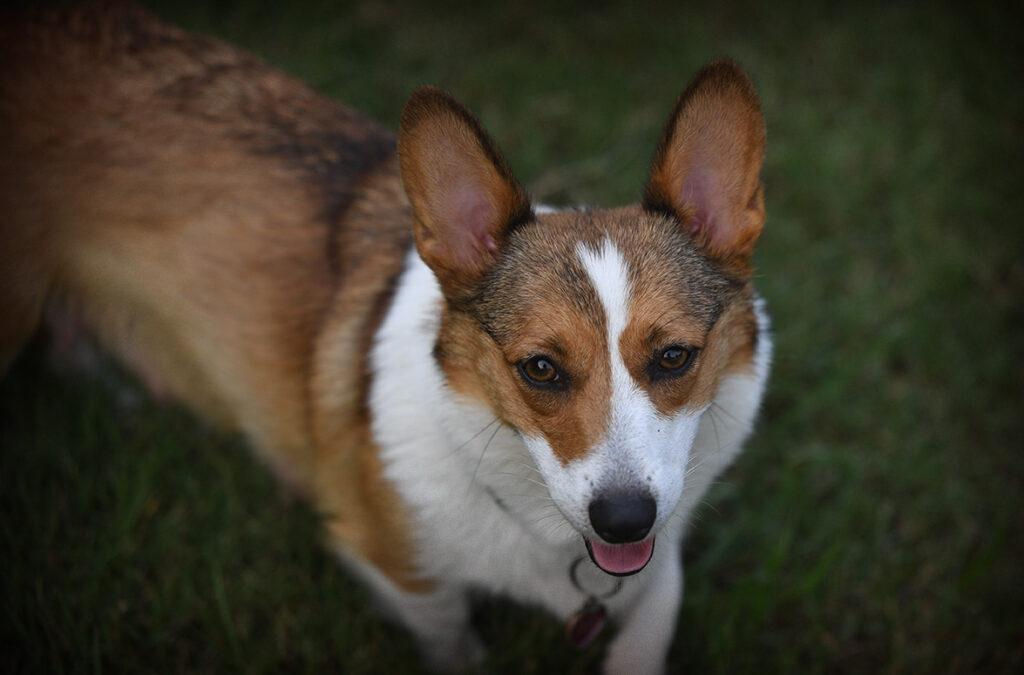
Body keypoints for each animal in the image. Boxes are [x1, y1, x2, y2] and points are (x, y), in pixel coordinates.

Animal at [0, 3, 771, 672]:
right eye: (540, 368)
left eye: (673, 356)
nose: (623, 520)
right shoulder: (399, 569)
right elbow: (454, 643)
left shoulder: (659, 562)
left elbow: (652, 620)